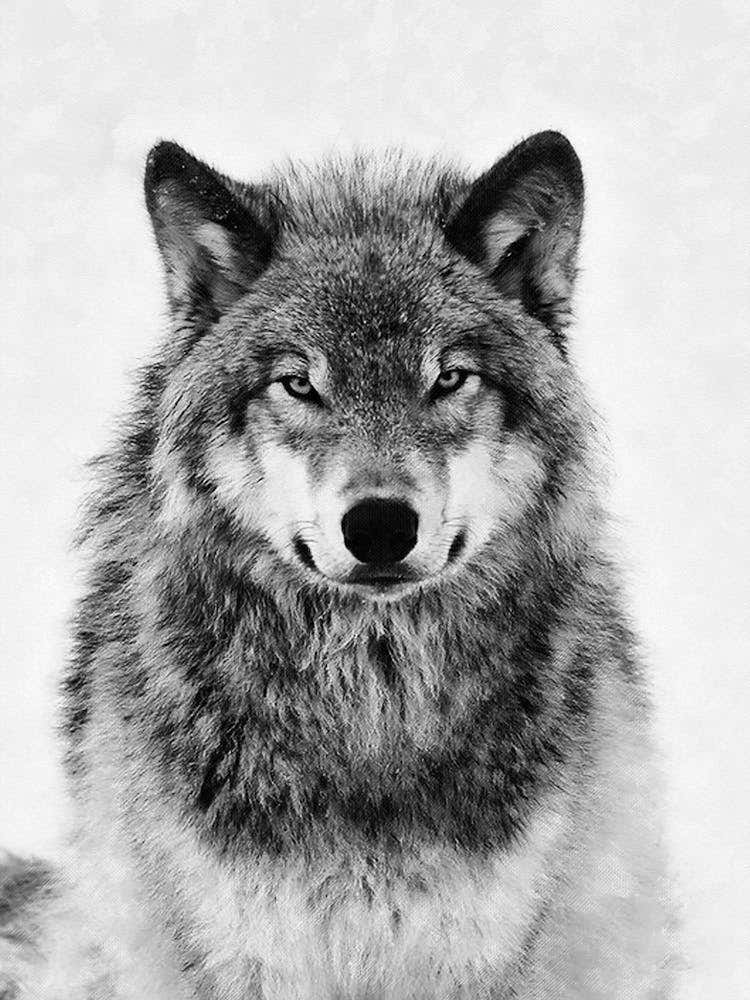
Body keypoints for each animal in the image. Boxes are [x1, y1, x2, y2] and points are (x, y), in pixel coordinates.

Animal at [0, 131, 676, 998]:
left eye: (448, 378)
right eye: (299, 383)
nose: (381, 526)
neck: (370, 707)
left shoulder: (480, 950)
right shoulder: (246, 950)